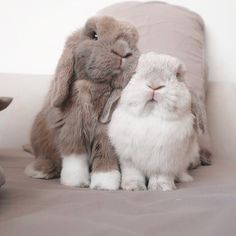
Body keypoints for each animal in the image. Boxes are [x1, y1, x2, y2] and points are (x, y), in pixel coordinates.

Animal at [108, 52, 199, 191]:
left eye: (177, 75)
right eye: (134, 72)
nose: (154, 86)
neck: (150, 116)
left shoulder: (164, 161)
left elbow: (160, 176)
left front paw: (161, 188)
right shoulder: (129, 159)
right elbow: (133, 173)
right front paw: (134, 187)